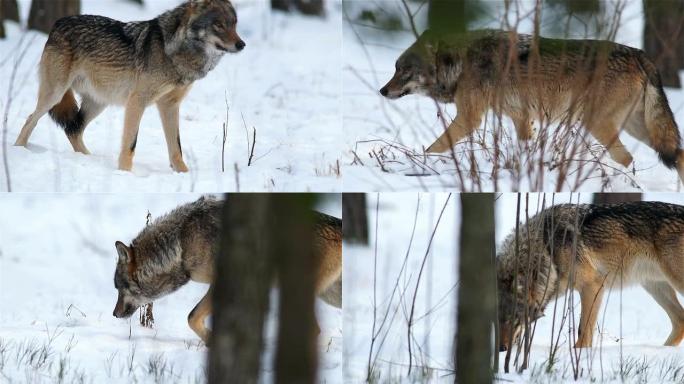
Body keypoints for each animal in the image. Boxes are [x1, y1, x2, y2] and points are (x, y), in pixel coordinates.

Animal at [14, 0, 246, 172]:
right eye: (219, 25)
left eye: (234, 24)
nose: (241, 44)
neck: (174, 51)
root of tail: (58, 22)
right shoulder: (137, 101)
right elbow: (130, 144)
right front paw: (125, 173)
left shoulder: (170, 105)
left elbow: (176, 147)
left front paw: (184, 174)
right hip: (55, 95)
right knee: (30, 120)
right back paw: (18, 150)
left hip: (98, 104)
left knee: (73, 130)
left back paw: (89, 160)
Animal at [113, 196, 344, 344]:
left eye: (119, 288)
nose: (114, 314)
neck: (182, 242)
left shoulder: (219, 282)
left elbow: (191, 317)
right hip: (330, 296)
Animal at [380, 29, 684, 182]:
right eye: (394, 68)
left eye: (403, 70)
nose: (382, 91)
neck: (460, 61)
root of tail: (639, 53)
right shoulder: (523, 119)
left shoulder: (470, 118)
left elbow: (435, 147)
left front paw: (419, 163)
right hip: (636, 128)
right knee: (676, 155)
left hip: (599, 125)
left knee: (627, 159)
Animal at [494, 201, 684, 352]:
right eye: (495, 321)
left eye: (514, 319)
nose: (501, 349)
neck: (547, 248)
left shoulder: (592, 286)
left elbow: (583, 330)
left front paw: (579, 355)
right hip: (655, 287)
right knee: (680, 320)